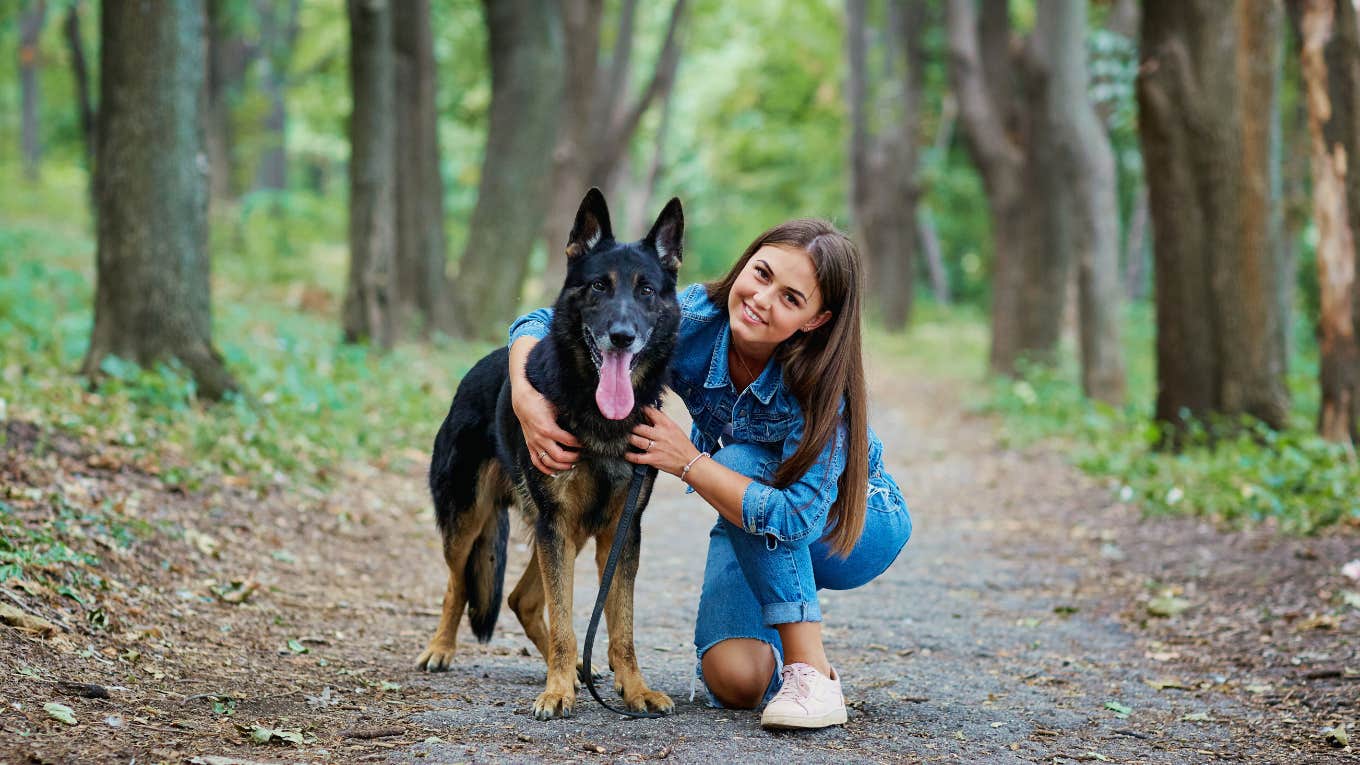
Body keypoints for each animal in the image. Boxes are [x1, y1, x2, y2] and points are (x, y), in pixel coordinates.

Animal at [416, 187, 680, 718]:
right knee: (459, 584)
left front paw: (634, 688)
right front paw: (557, 691)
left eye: (646, 290)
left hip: (563, 533)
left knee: (521, 599)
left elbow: (621, 626)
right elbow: (564, 619)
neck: (599, 415)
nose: (622, 336)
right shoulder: (557, 525)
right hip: (474, 521)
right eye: (598, 286)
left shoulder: (620, 532)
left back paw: (579, 669)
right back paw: (442, 648)